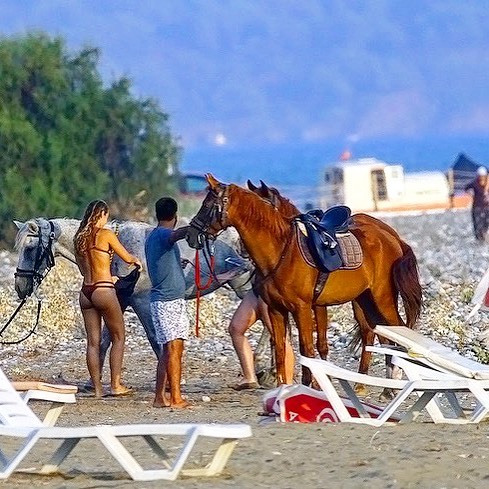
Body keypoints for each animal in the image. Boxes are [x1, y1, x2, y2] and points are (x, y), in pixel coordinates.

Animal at [13, 217, 254, 362]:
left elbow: (155, 339)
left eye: (30, 248)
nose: (20, 287)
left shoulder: (142, 301)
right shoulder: (120, 300)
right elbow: (105, 340)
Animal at [185, 175, 422, 386]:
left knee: (397, 334)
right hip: (366, 300)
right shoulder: (277, 309)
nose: (190, 235)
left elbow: (308, 348)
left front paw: (312, 385)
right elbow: (282, 348)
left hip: (383, 298)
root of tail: (393, 238)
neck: (281, 250)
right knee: (380, 335)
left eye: (207, 205)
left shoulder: (303, 308)